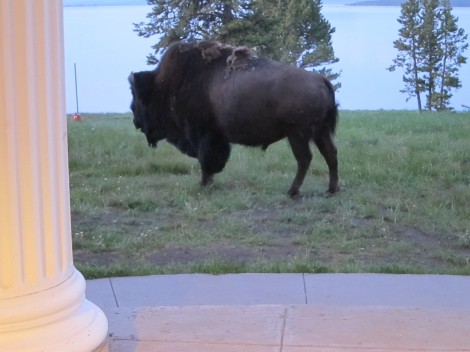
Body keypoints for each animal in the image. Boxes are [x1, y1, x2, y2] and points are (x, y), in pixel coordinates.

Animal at [129, 41, 338, 198]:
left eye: (137, 97)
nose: (135, 120)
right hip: (320, 132)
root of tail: (321, 80)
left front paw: (204, 184)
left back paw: (292, 191)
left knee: (304, 159)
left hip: (297, 134)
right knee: (330, 154)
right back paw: (331, 190)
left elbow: (206, 161)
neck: (166, 85)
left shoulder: (202, 135)